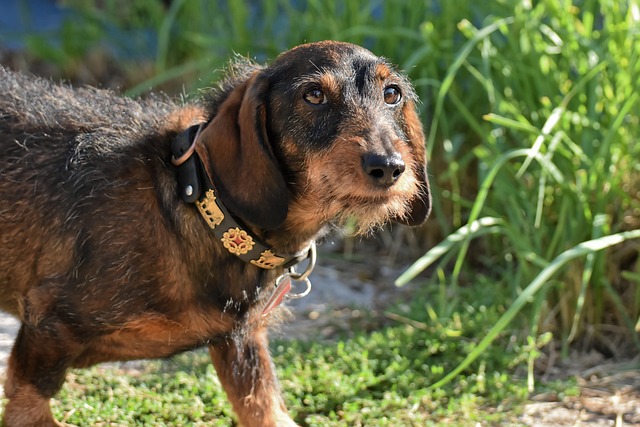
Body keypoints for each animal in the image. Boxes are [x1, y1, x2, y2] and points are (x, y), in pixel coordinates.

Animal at [1, 41, 430, 427]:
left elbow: (264, 408)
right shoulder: (47, 331)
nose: (389, 167)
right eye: (314, 95)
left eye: (392, 94)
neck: (201, 208)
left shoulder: (241, 344)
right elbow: (30, 407)